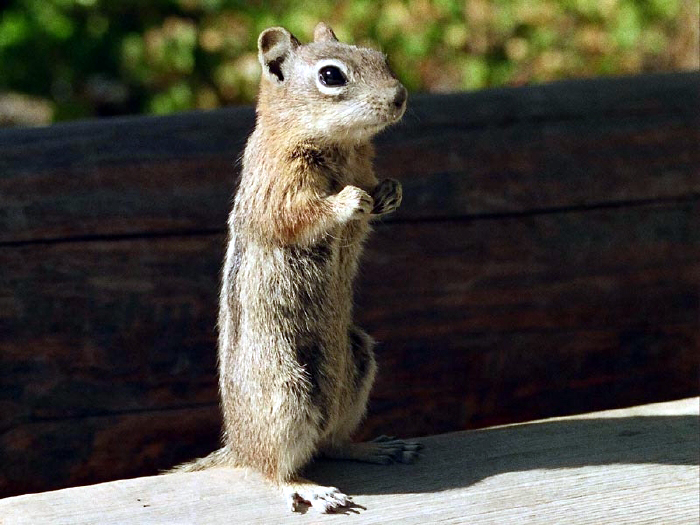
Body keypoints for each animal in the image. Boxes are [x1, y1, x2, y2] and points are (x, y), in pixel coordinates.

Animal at [173, 23, 422, 512]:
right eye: (331, 76)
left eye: (380, 57)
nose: (400, 95)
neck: (340, 146)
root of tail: (239, 444)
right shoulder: (277, 186)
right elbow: (297, 216)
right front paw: (348, 201)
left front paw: (389, 192)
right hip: (284, 392)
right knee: (273, 469)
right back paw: (310, 489)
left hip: (359, 358)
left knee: (331, 443)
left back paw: (374, 449)